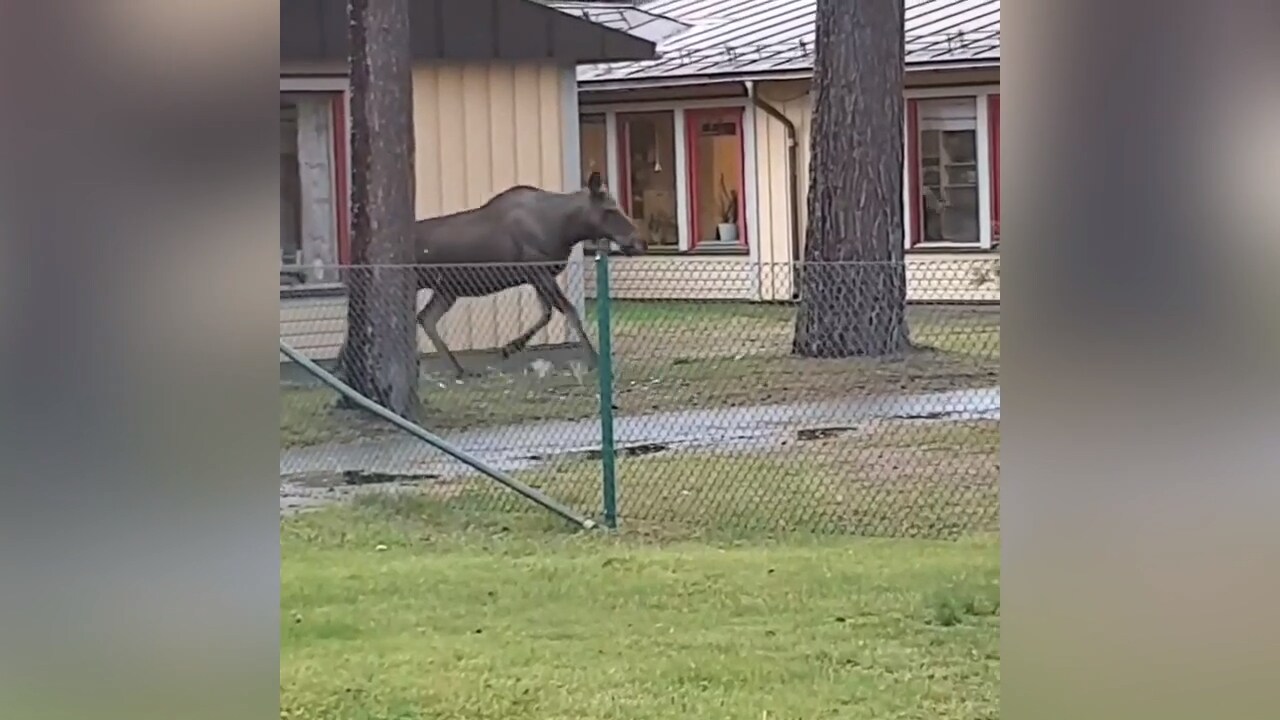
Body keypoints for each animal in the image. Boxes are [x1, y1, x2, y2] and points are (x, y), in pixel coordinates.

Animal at [412, 172, 645, 376]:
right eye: (610, 209)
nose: (640, 242)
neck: (567, 230)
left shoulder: (537, 277)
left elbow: (546, 313)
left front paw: (509, 347)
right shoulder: (539, 271)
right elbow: (570, 312)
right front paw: (595, 360)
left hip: (447, 290)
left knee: (426, 318)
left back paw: (458, 369)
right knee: (422, 318)